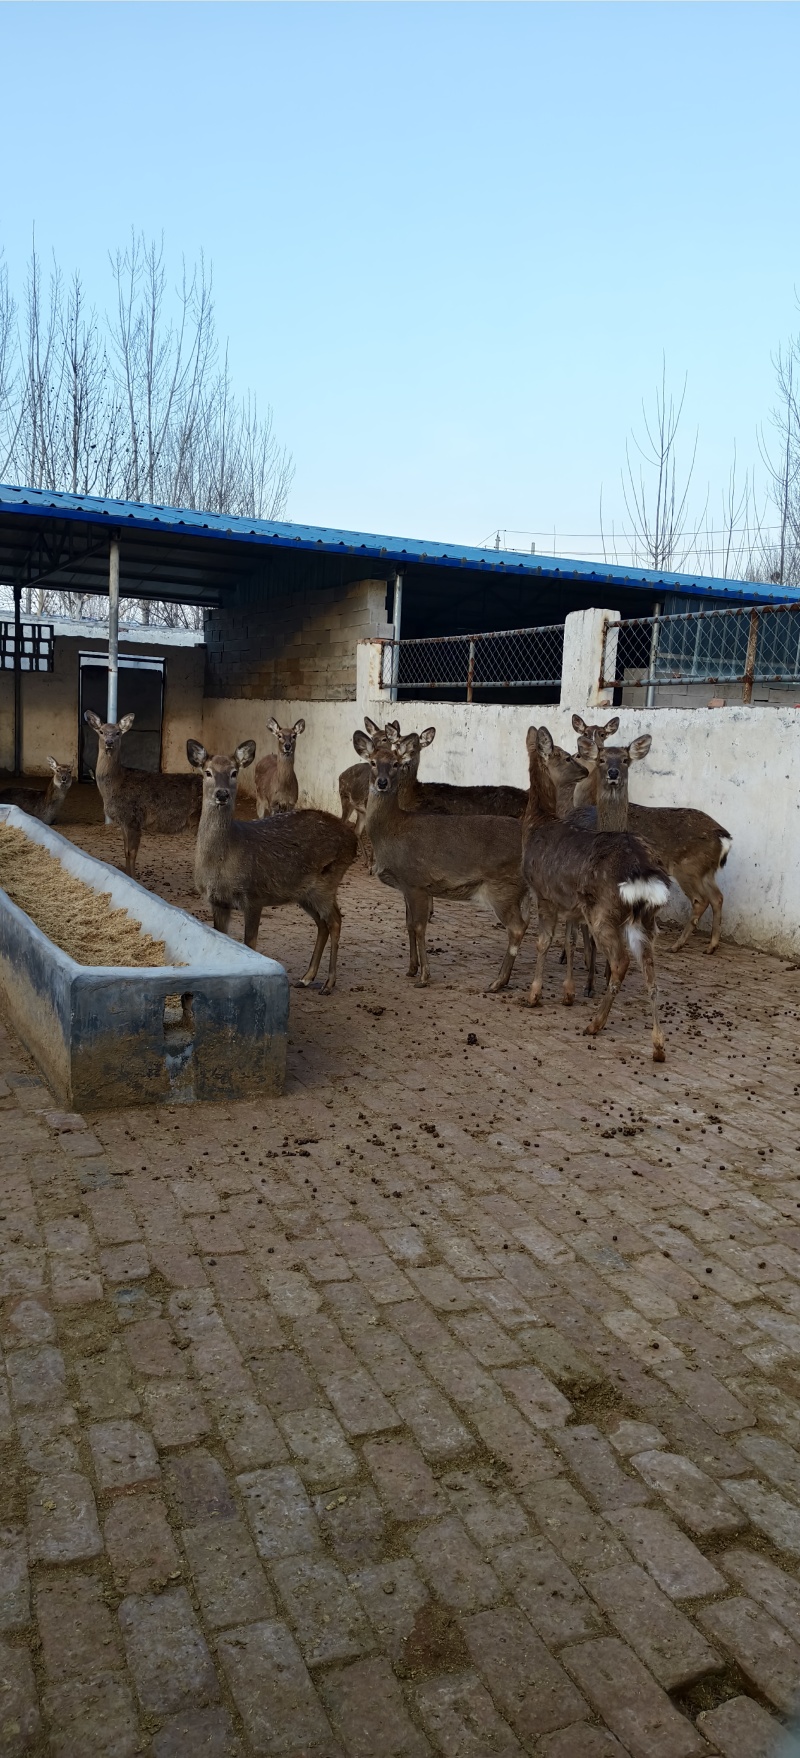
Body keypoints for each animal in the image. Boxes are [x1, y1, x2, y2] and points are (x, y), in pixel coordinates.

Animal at [83, 711, 202, 878]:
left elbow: (132, 852)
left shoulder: (133, 818)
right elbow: (125, 851)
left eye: (118, 732)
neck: (115, 785)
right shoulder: (124, 822)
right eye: (101, 731)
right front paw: (127, 874)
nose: (109, 742)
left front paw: (133, 878)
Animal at [187, 739, 357, 994]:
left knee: (335, 920)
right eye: (207, 772)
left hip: (328, 881)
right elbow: (220, 938)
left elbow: (250, 944)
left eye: (234, 772)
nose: (222, 793)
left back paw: (328, 983)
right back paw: (306, 977)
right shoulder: (217, 902)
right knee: (322, 923)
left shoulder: (254, 896)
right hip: (305, 893)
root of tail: (354, 841)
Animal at [352, 729, 530, 991]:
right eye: (373, 762)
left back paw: (497, 982)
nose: (382, 783)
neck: (391, 831)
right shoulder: (407, 886)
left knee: (517, 928)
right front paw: (411, 969)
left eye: (395, 763)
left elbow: (419, 927)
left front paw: (424, 976)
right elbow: (408, 924)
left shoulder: (416, 881)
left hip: (504, 886)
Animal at [523, 725, 670, 1060]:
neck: (535, 826)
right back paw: (658, 1046)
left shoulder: (544, 892)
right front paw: (568, 991)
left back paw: (595, 1024)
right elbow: (568, 941)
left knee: (621, 962)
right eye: (567, 756)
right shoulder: (568, 905)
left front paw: (534, 995)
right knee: (651, 974)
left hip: (605, 910)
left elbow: (542, 942)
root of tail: (642, 871)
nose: (584, 769)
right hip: (646, 919)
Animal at [570, 730, 732, 954]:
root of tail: (724, 837)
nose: (613, 773)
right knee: (718, 897)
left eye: (625, 760)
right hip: (706, 871)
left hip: (689, 868)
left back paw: (677, 945)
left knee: (701, 900)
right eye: (601, 758)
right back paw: (710, 946)